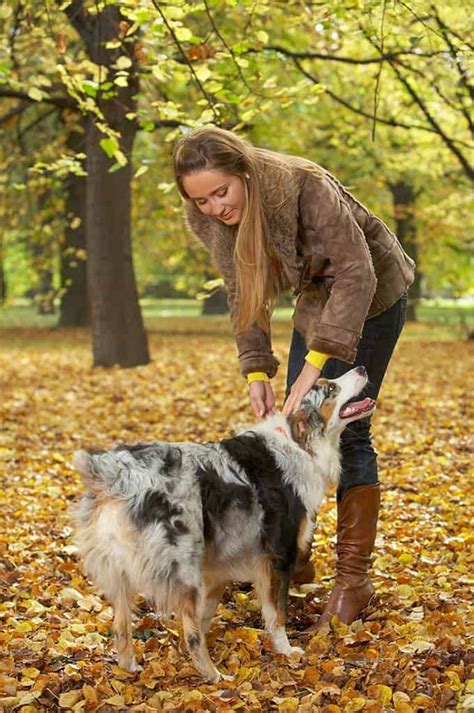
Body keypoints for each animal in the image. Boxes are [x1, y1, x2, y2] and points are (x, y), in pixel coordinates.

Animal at [72, 368, 374, 680]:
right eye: (329, 389)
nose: (362, 369)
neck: (298, 443)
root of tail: (115, 475)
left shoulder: (218, 568)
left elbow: (206, 615)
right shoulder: (278, 556)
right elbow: (276, 613)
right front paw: (286, 651)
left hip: (120, 572)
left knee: (121, 627)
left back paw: (130, 667)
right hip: (184, 567)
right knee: (191, 633)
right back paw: (215, 677)